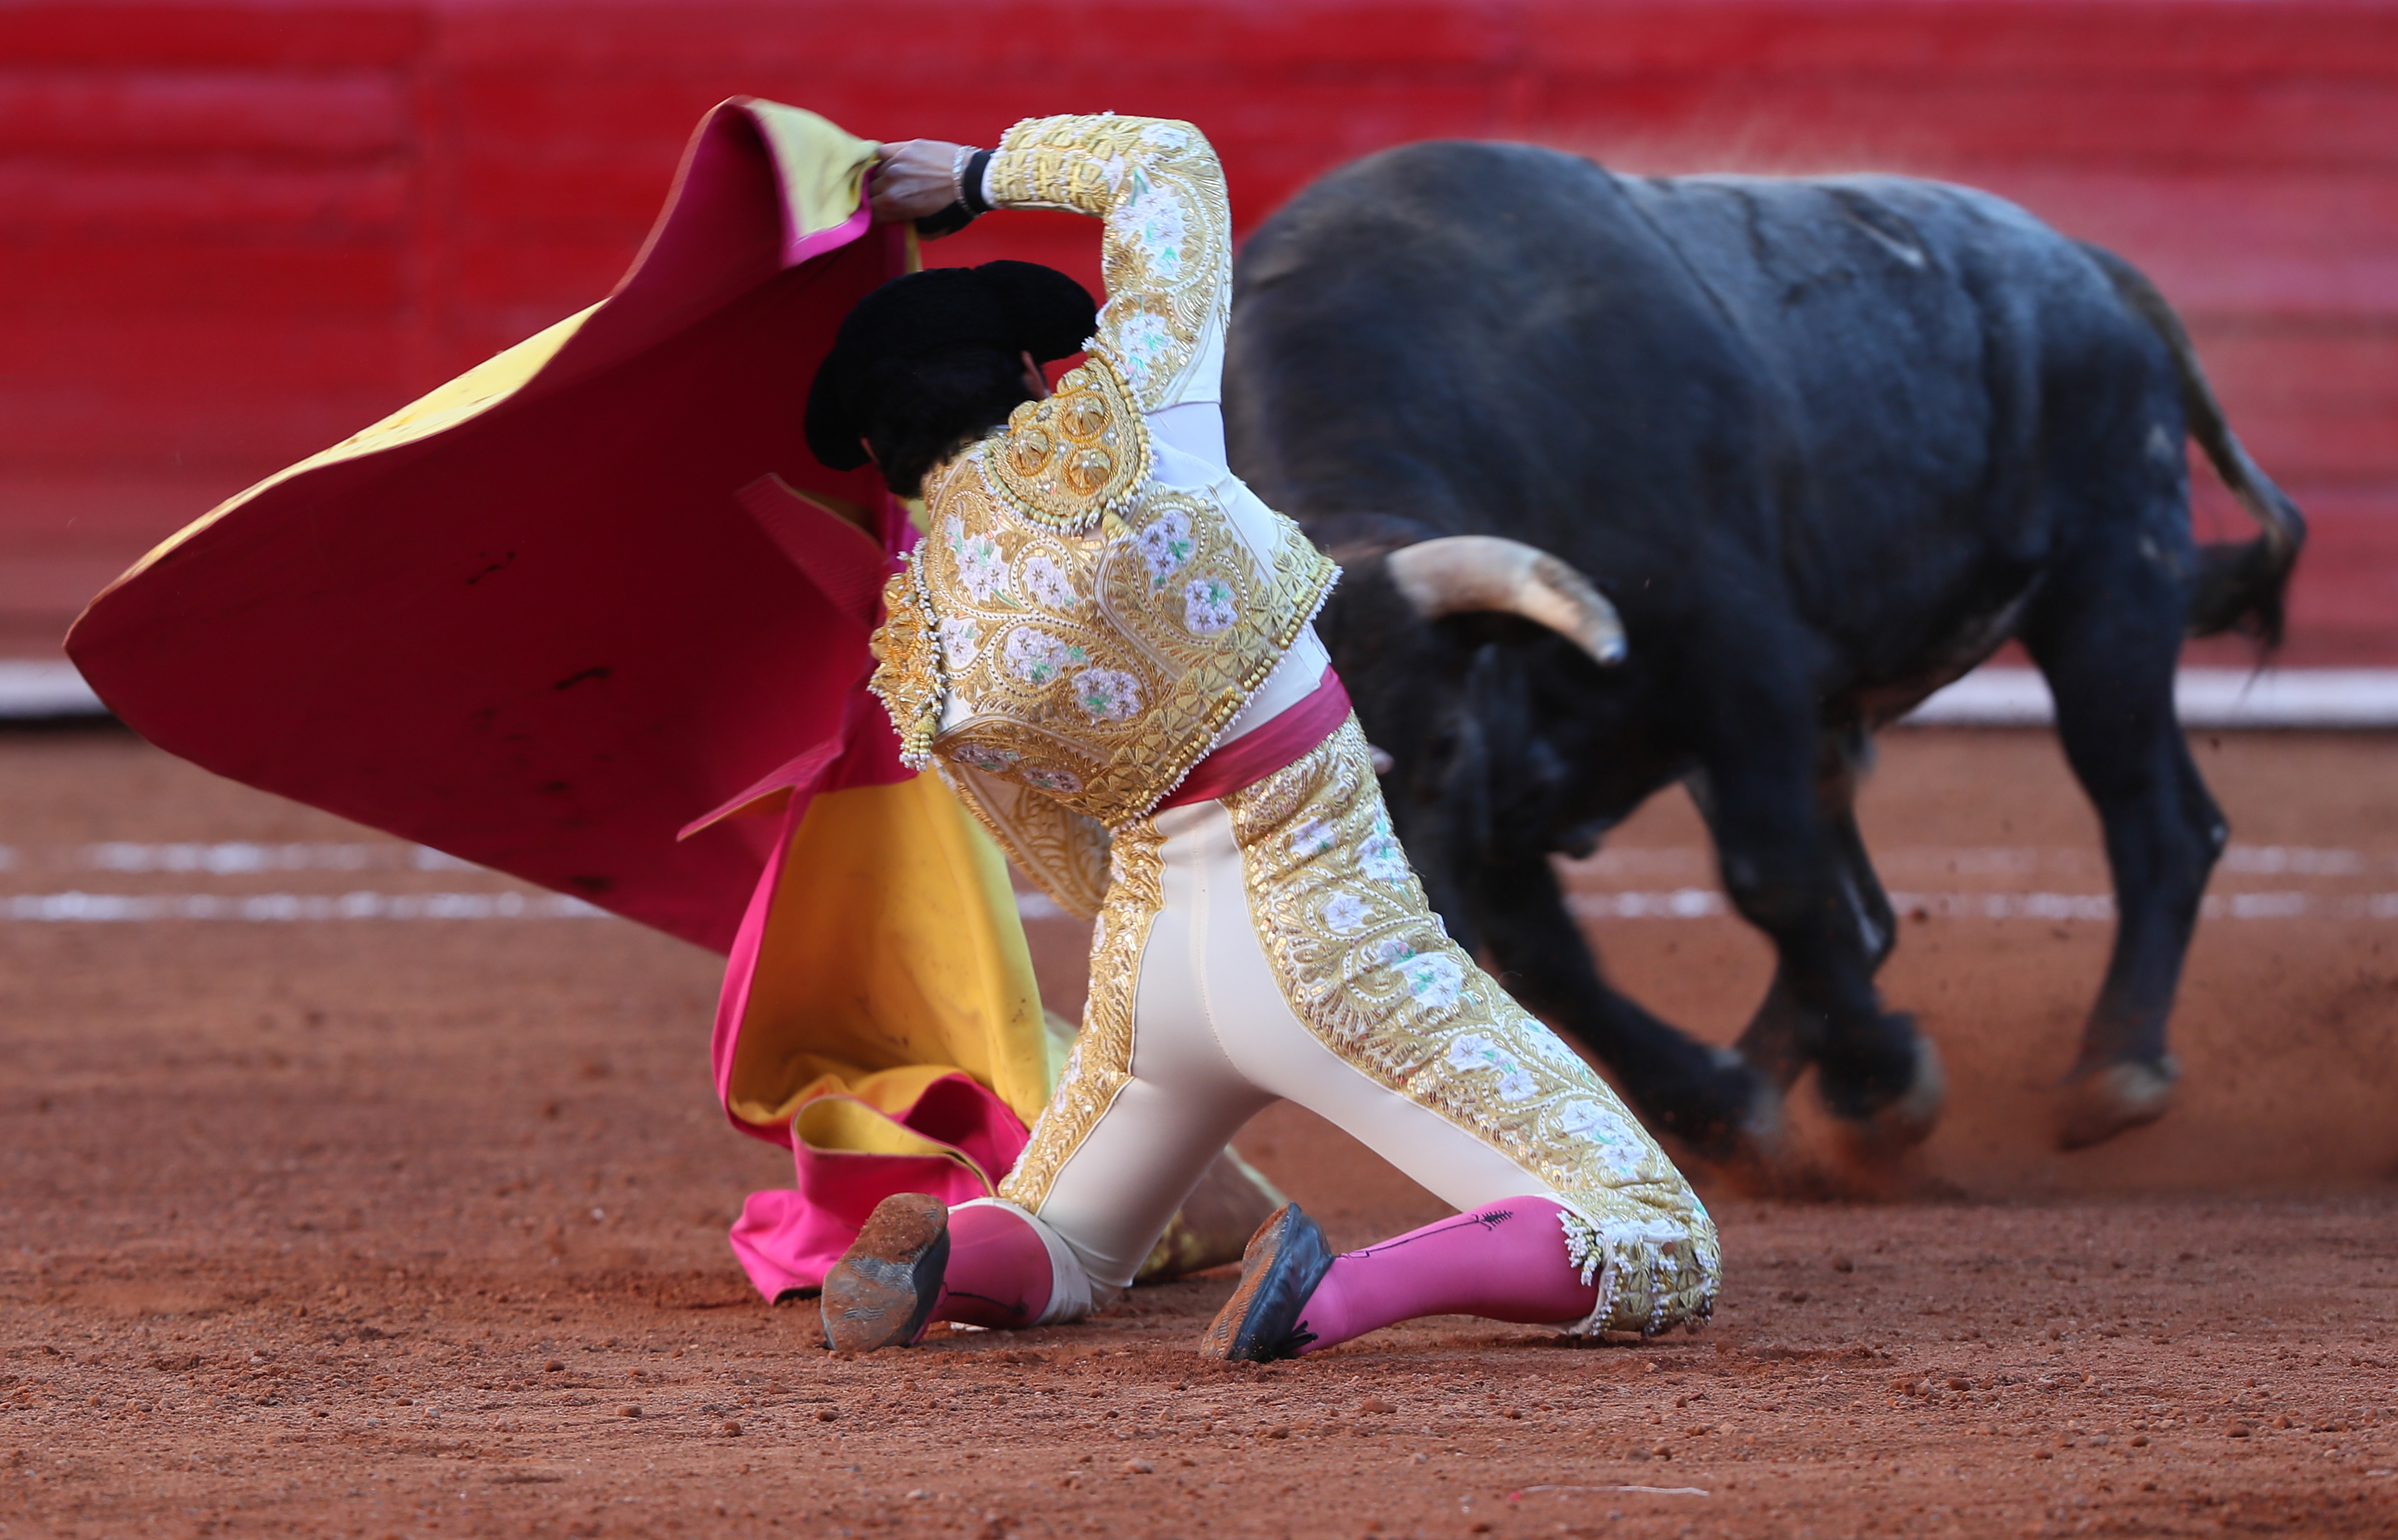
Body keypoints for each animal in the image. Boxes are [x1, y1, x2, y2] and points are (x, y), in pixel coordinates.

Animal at [1228, 144, 2292, 1170]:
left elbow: (1768, 875)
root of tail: (2088, 268)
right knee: (1865, 908)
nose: (1393, 956)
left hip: (2111, 596)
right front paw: (1720, 1104)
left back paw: (2114, 1067)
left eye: (1443, 742)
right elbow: (1546, 954)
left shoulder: (1735, 660)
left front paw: (1878, 1082)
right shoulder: (1515, 786)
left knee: (2156, 822)